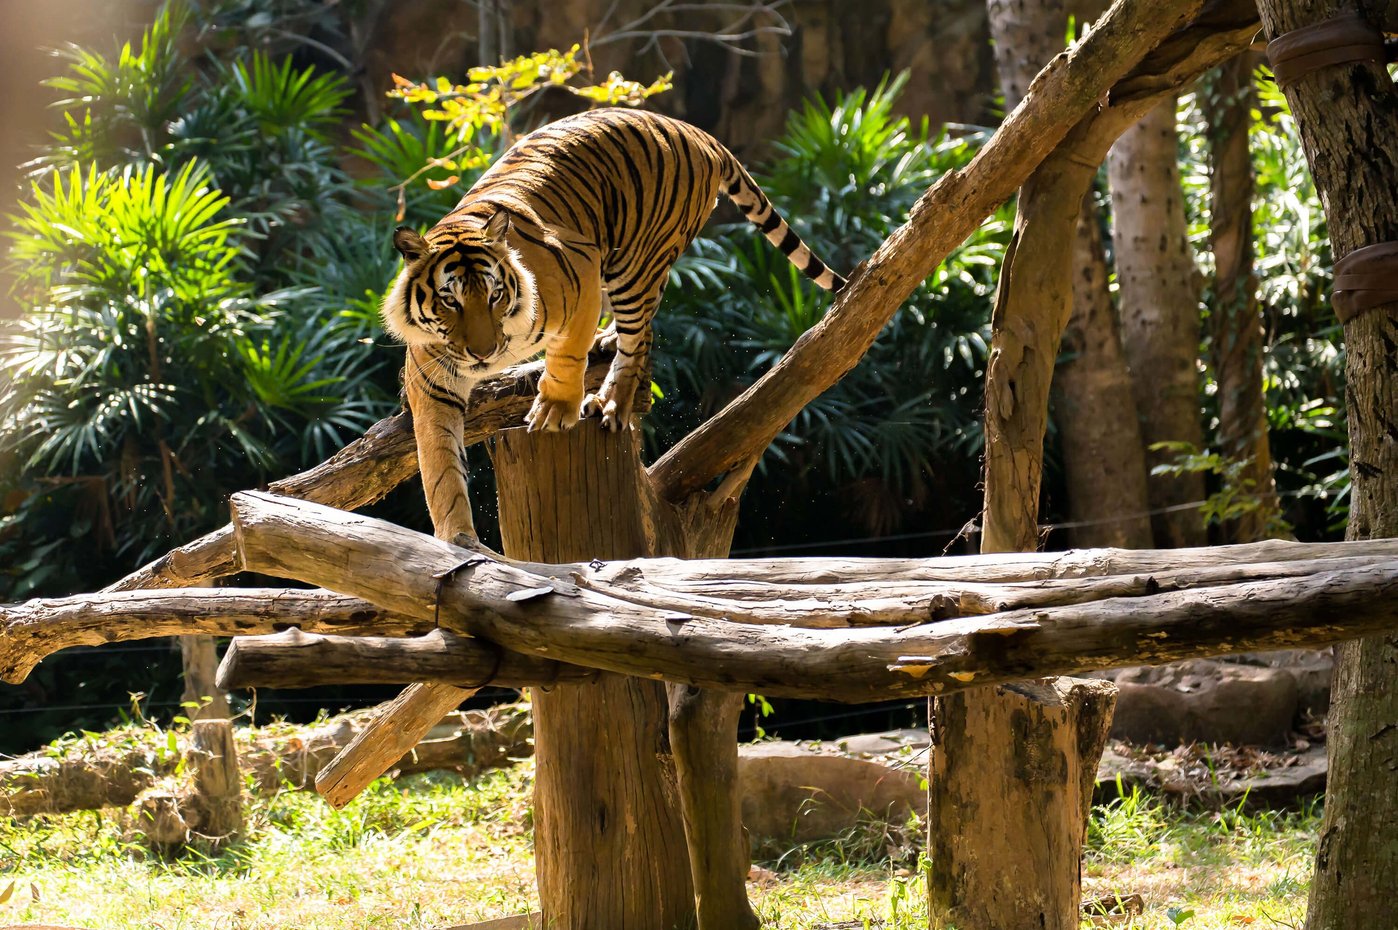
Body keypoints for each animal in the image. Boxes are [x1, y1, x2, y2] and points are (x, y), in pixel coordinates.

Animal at [381, 106, 846, 542]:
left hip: (634, 264)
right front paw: (458, 538)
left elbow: (568, 354)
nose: (484, 353)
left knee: (640, 336)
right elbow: (440, 465)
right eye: (450, 300)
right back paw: (605, 342)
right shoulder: (433, 384)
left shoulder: (581, 267)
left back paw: (611, 403)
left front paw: (555, 409)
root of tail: (696, 131)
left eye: (494, 295)